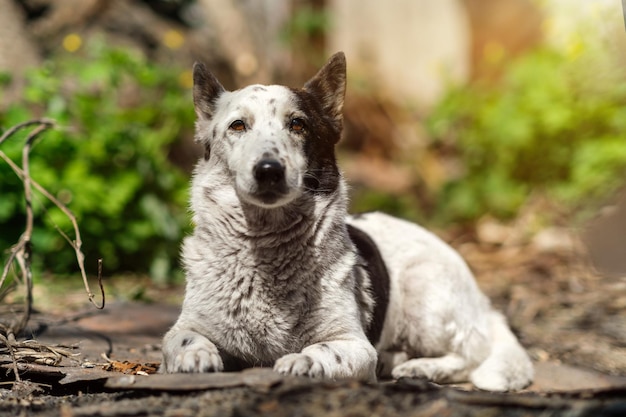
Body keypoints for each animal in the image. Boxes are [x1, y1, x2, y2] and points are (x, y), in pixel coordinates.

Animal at [160, 52, 532, 390]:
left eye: (297, 124)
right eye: (238, 125)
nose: (268, 170)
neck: (266, 248)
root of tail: (483, 305)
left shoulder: (353, 344)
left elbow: (323, 351)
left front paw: (302, 361)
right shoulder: (189, 326)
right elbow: (180, 339)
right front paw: (194, 355)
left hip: (425, 294)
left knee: (470, 355)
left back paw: (422, 368)